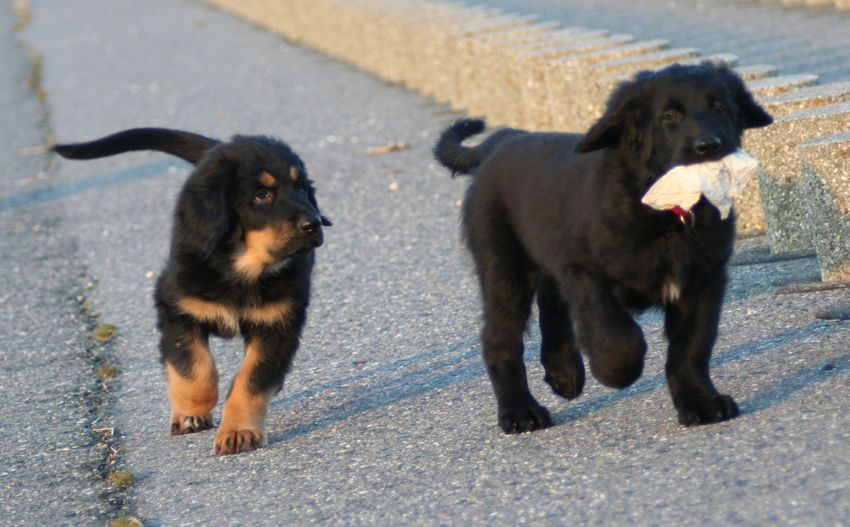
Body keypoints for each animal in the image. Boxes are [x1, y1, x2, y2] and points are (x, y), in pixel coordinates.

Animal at [54, 128, 331, 454]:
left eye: (301, 187)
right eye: (262, 195)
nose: (314, 224)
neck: (241, 268)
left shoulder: (278, 325)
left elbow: (250, 381)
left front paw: (238, 431)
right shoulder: (176, 309)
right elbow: (194, 369)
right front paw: (194, 409)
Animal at [434, 63, 773, 434]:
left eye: (720, 108)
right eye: (670, 116)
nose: (708, 146)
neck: (666, 217)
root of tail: (501, 140)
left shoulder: (704, 281)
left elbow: (693, 347)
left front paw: (701, 402)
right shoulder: (585, 272)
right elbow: (617, 334)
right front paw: (615, 370)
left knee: (551, 301)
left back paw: (564, 371)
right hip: (503, 266)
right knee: (501, 336)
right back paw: (520, 411)